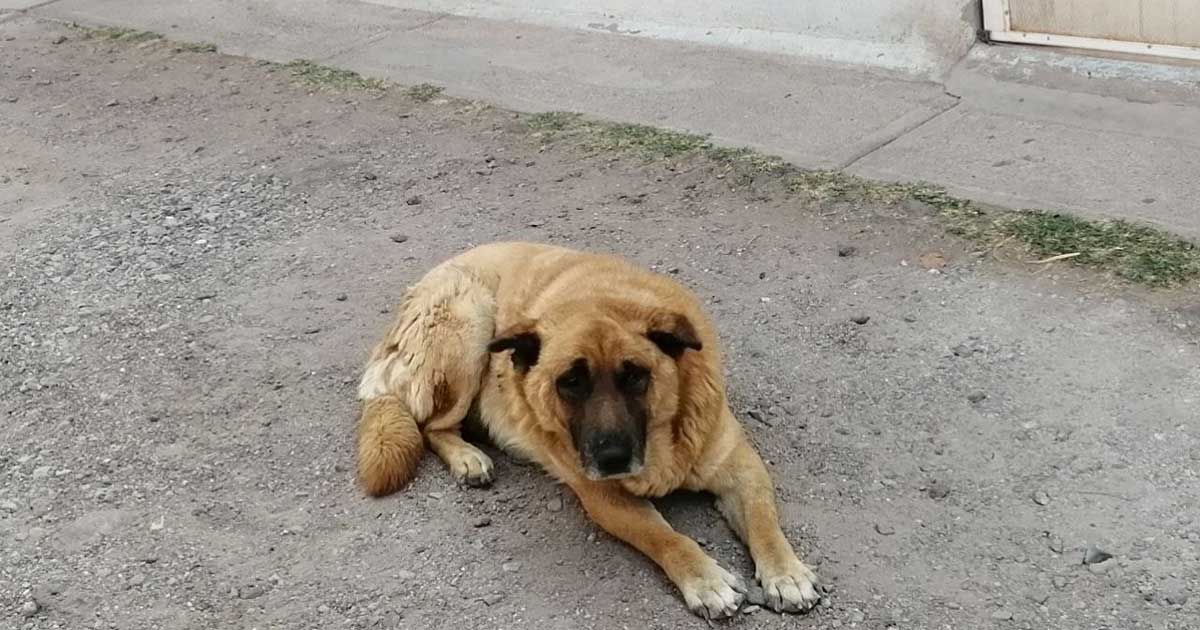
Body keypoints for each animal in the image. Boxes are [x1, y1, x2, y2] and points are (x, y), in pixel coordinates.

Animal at [355, 243, 820, 614]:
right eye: (571, 382)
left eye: (635, 376)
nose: (612, 458)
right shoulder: (604, 498)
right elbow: (667, 538)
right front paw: (705, 579)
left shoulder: (740, 466)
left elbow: (764, 520)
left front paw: (786, 573)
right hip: (471, 324)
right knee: (432, 425)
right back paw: (468, 457)